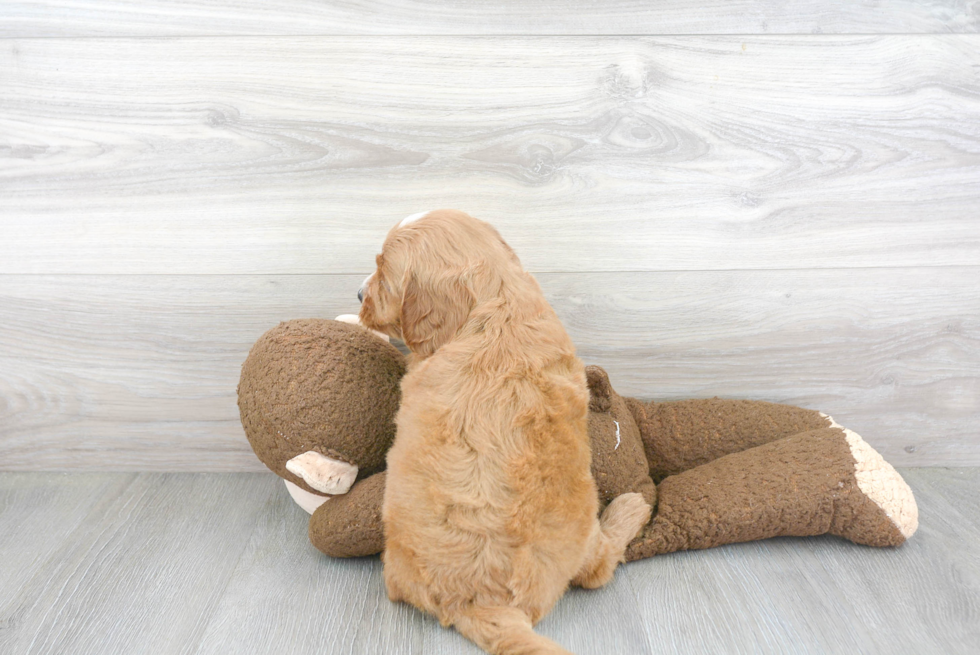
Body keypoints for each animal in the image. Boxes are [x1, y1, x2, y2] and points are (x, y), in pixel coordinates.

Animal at [360, 210, 652, 655]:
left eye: (381, 270)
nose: (359, 293)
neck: (497, 301)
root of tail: (475, 600)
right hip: (584, 534)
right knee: (599, 569)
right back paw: (632, 505)